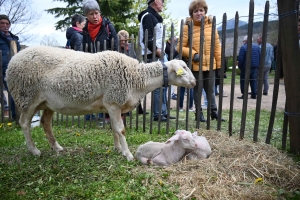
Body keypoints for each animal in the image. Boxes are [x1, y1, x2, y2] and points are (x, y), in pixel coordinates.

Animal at [5, 45, 197, 161]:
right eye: (184, 69)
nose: (195, 83)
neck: (138, 78)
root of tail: (13, 59)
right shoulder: (113, 101)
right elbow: (121, 129)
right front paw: (128, 154)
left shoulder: (111, 105)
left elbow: (114, 128)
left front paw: (118, 149)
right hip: (27, 97)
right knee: (24, 123)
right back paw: (34, 150)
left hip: (48, 103)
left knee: (46, 123)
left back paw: (56, 147)